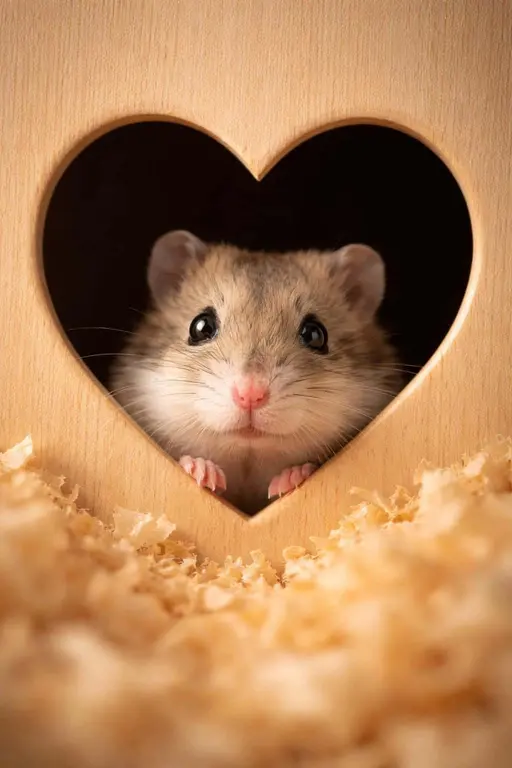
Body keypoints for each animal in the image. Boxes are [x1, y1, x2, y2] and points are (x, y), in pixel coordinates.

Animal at [110, 230, 402, 515]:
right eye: (200, 327)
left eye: (315, 334)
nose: (250, 395)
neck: (247, 458)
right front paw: (202, 471)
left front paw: (291, 479)